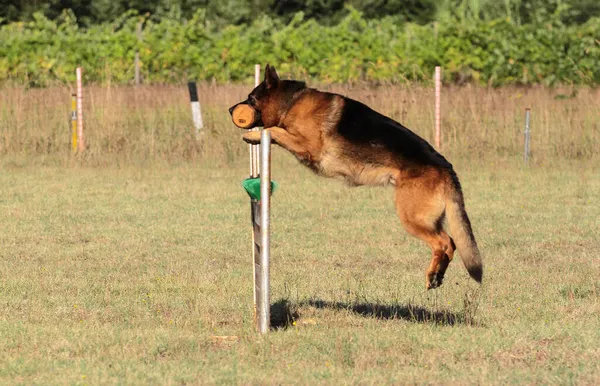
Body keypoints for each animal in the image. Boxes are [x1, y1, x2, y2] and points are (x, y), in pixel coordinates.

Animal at [230, 65, 482, 288]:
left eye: (251, 98)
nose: (231, 110)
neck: (291, 102)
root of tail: (446, 167)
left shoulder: (308, 145)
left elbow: (273, 130)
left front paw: (253, 135)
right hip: (428, 219)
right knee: (450, 244)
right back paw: (437, 276)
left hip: (413, 218)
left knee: (445, 242)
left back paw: (432, 275)